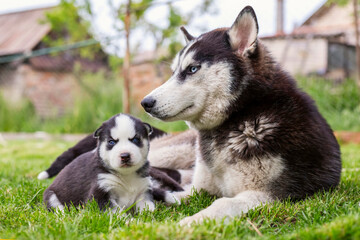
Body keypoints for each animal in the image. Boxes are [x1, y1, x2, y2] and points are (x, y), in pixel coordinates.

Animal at [43, 114, 177, 212]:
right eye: (111, 142)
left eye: (135, 139)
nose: (125, 156)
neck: (126, 175)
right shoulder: (100, 194)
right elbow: (117, 213)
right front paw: (129, 221)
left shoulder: (144, 190)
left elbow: (148, 208)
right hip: (51, 196)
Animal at [141, 6, 340, 226]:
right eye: (173, 72)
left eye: (192, 69)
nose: (146, 103)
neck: (241, 116)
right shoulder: (198, 189)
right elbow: (176, 195)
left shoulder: (268, 195)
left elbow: (222, 203)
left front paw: (186, 224)